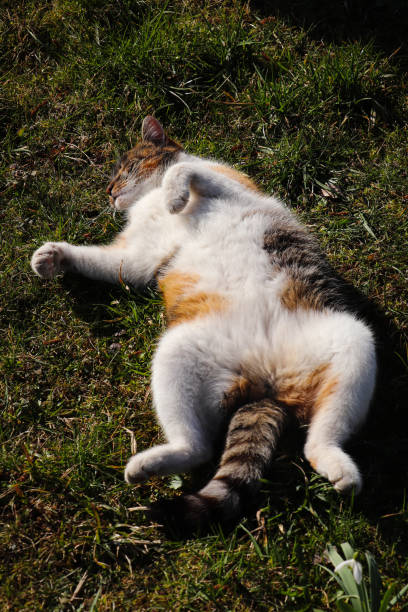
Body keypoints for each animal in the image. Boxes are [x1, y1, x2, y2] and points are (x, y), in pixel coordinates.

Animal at [31, 117, 376, 528]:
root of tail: (267, 384)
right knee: (199, 446)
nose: (109, 191)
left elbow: (180, 171)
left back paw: (342, 471)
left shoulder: (229, 183)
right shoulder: (138, 256)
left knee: (318, 437)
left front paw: (174, 197)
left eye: (126, 167)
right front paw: (52, 256)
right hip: (179, 351)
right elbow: (108, 262)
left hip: (354, 340)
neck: (148, 198)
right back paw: (149, 465)